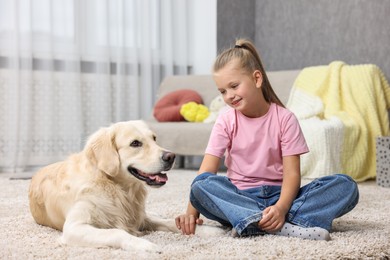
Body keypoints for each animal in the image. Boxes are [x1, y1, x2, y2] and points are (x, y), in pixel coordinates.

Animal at [29, 121, 224, 253]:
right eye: (135, 143)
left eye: (154, 138)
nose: (171, 156)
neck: (117, 189)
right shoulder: (74, 227)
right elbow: (116, 232)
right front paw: (145, 245)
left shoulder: (140, 217)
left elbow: (169, 222)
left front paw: (206, 230)